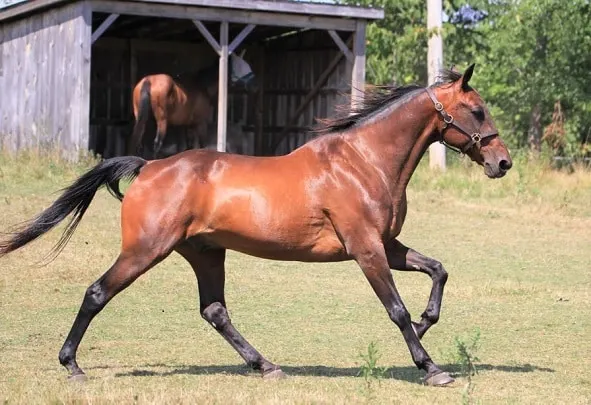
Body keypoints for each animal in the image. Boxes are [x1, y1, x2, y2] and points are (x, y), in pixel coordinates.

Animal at [0, 63, 512, 386]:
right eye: (477, 110)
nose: (502, 162)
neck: (363, 161)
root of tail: (147, 167)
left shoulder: (386, 244)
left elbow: (438, 270)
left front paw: (427, 326)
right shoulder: (366, 249)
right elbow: (396, 309)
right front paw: (431, 367)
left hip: (205, 253)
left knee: (215, 311)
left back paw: (265, 365)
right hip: (146, 250)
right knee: (97, 293)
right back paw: (71, 365)